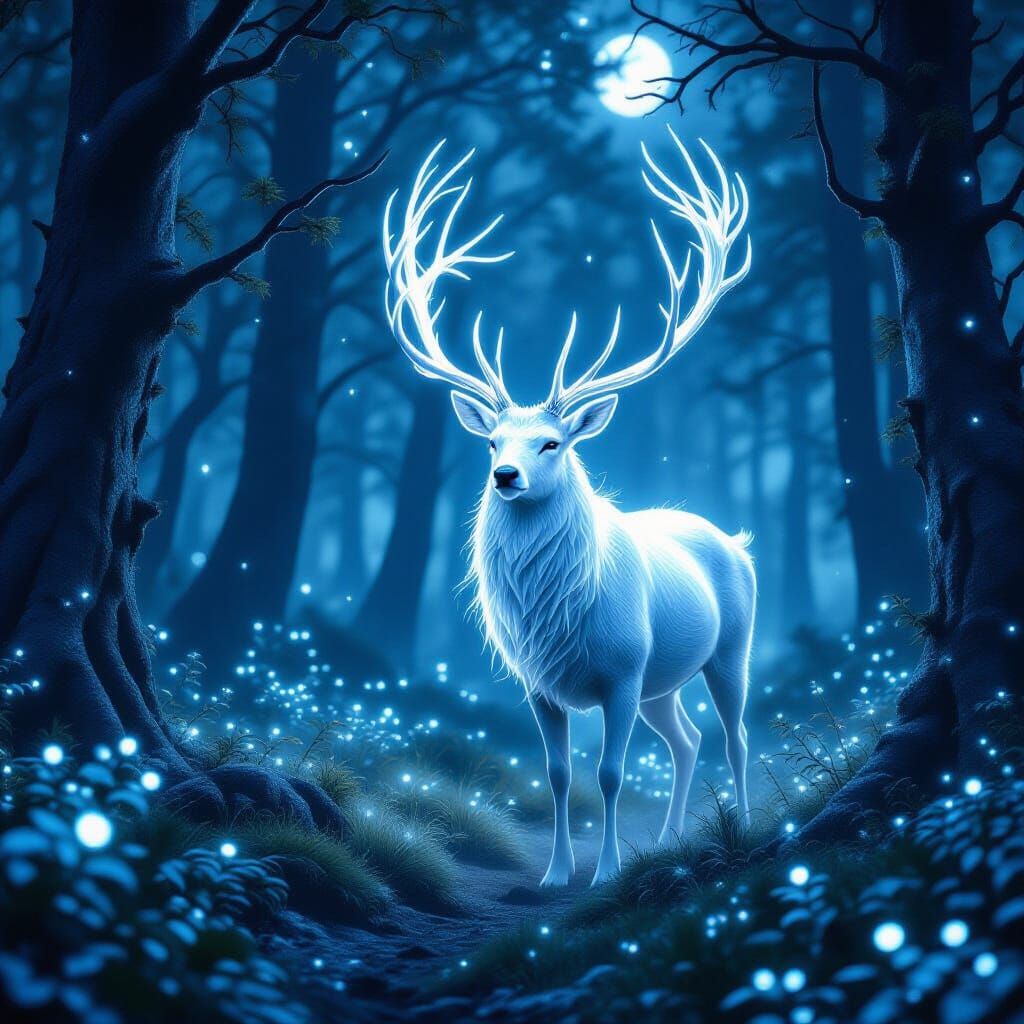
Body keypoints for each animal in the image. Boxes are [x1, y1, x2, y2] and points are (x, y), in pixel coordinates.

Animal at [382, 129, 755, 887]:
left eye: (552, 442)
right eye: (492, 439)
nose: (505, 475)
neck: (555, 617)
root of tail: (734, 539)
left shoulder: (622, 671)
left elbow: (610, 775)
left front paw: (606, 871)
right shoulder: (540, 685)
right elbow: (557, 775)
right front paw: (555, 873)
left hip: (728, 648)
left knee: (733, 735)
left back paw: (752, 826)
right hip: (663, 684)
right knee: (687, 739)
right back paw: (669, 839)